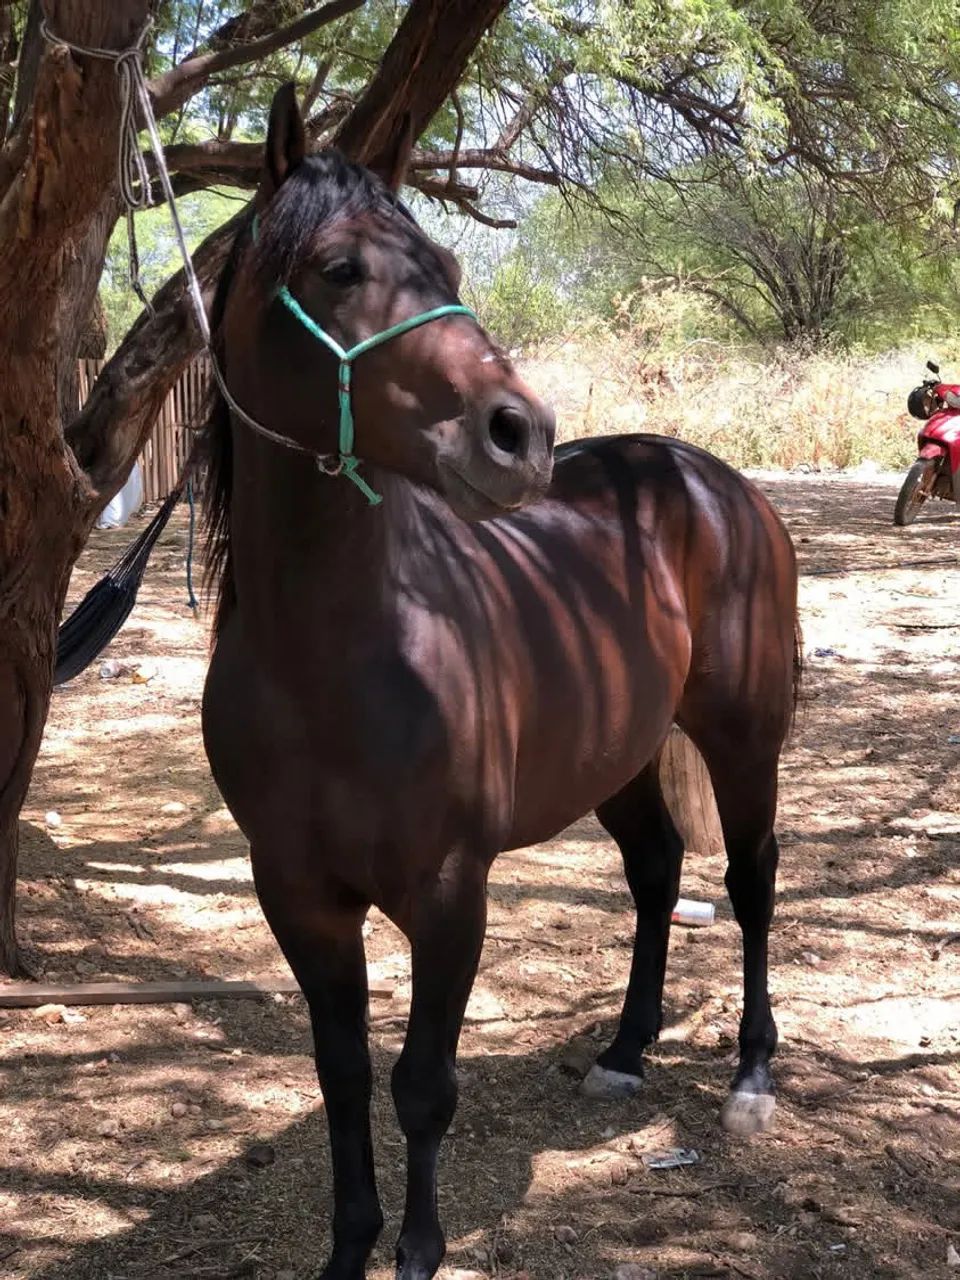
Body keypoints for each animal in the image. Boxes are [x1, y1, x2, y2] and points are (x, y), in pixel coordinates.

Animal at [200, 83, 801, 1280]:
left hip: (742, 738)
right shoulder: (297, 895)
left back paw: (751, 1076)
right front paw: (349, 1248)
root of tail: (712, 480)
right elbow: (343, 1082)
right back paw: (624, 1050)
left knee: (752, 878)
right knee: (658, 870)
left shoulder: (448, 892)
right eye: (338, 267)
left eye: (444, 264)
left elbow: (422, 1087)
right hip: (621, 754)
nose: (519, 434)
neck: (330, 659)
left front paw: (420, 1252)